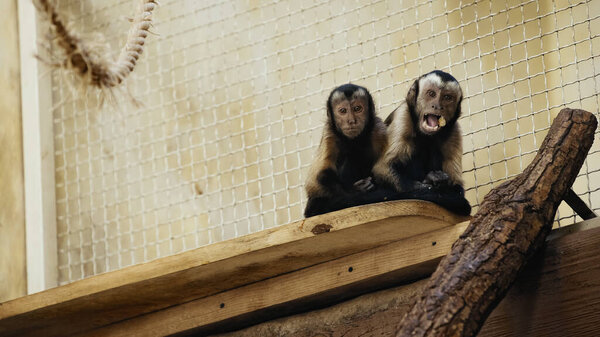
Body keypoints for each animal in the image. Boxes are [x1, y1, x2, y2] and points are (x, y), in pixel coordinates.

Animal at [304, 82, 390, 217]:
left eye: (357, 108)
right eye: (343, 111)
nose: (351, 121)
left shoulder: (379, 130)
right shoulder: (329, 134)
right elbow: (319, 177)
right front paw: (355, 190)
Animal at [372, 69, 472, 214]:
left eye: (447, 97)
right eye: (431, 94)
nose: (437, 106)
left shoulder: (455, 131)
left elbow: (457, 187)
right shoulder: (403, 117)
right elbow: (382, 168)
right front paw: (428, 183)